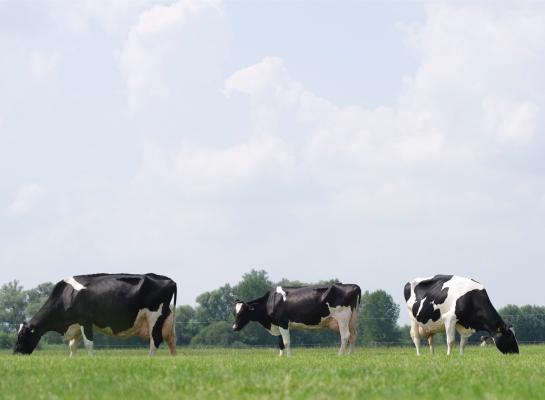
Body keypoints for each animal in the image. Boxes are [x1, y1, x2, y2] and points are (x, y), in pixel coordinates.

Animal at [13, 272, 176, 356]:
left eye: (22, 336)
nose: (15, 353)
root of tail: (169, 280)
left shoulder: (85, 321)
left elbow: (88, 344)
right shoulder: (75, 325)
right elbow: (72, 346)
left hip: (154, 316)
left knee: (155, 340)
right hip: (167, 319)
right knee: (171, 341)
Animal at [232, 284, 360, 356]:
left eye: (242, 312)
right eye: (234, 312)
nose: (234, 327)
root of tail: (354, 286)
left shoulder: (283, 322)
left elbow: (286, 342)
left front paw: (289, 357)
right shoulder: (279, 324)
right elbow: (280, 343)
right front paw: (281, 357)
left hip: (342, 318)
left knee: (345, 336)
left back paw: (340, 355)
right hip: (352, 320)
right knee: (353, 336)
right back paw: (350, 355)